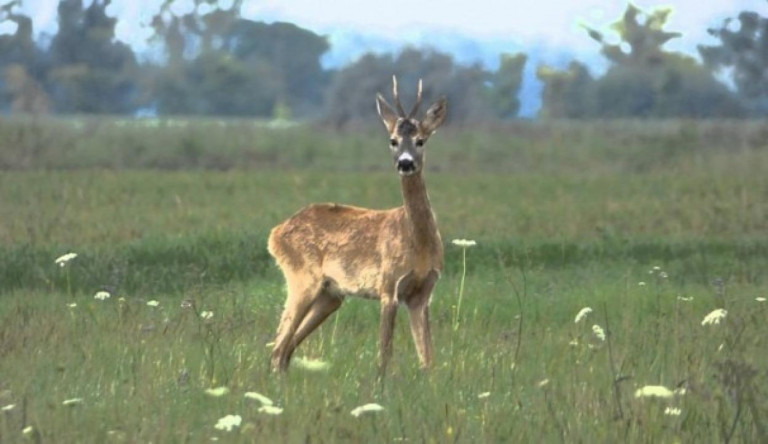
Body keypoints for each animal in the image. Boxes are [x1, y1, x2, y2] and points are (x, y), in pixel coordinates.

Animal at [268, 75, 448, 372]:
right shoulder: (389, 286)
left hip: (330, 295)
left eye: (421, 140)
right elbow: (384, 354)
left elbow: (428, 358)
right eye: (393, 140)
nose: (405, 163)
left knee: (285, 349)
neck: (417, 243)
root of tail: (275, 233)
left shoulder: (423, 294)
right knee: (278, 345)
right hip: (301, 278)